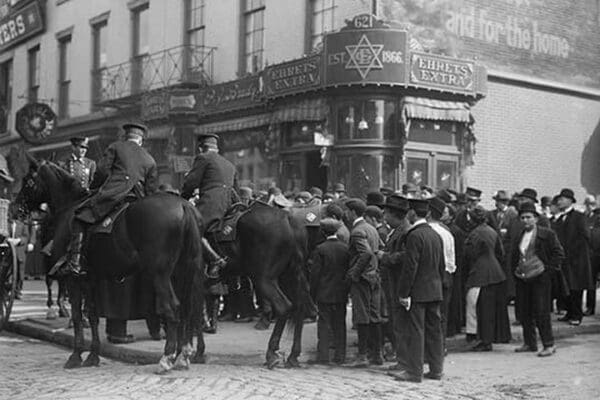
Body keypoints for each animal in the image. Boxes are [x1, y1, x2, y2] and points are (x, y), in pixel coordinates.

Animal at [16, 159, 205, 372]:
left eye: (28, 182)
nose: (16, 209)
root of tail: (183, 205)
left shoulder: (73, 280)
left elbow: (78, 316)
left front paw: (75, 355)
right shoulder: (91, 278)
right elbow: (93, 315)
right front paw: (93, 356)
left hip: (160, 274)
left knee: (172, 307)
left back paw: (167, 357)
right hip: (183, 272)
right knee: (187, 308)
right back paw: (183, 354)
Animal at [217, 203, 318, 368]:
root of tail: (287, 219)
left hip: (264, 278)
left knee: (283, 306)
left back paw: (271, 352)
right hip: (291, 276)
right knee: (300, 308)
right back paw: (293, 355)